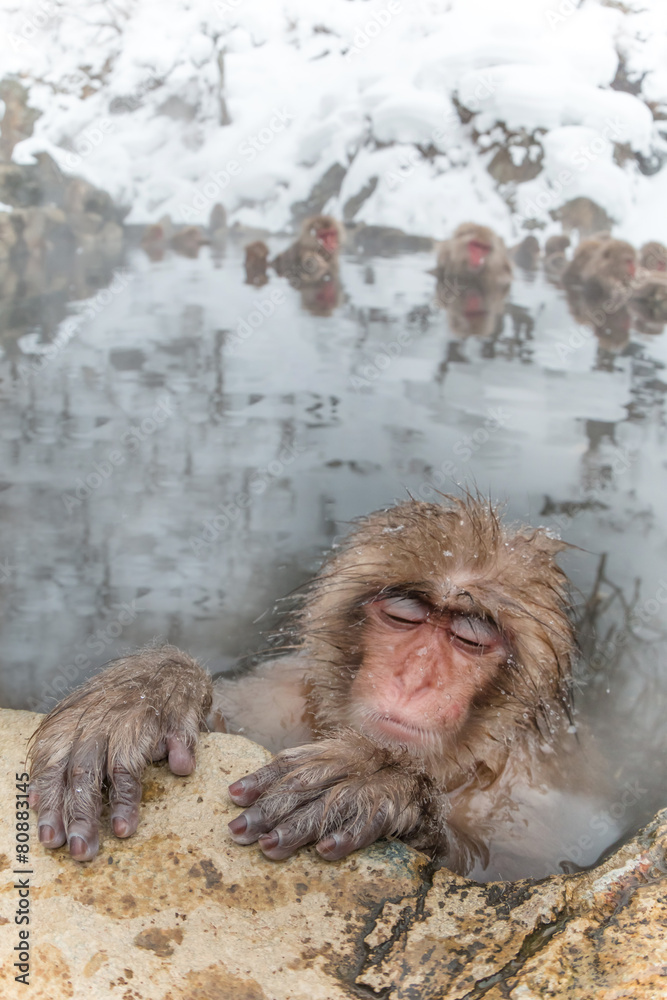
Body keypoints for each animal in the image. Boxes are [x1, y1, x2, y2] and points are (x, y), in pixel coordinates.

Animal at [29, 496, 575, 871]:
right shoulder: (280, 696)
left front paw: (377, 777)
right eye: (404, 616)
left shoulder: (528, 797)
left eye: (469, 639)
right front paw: (145, 693)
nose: (415, 678)